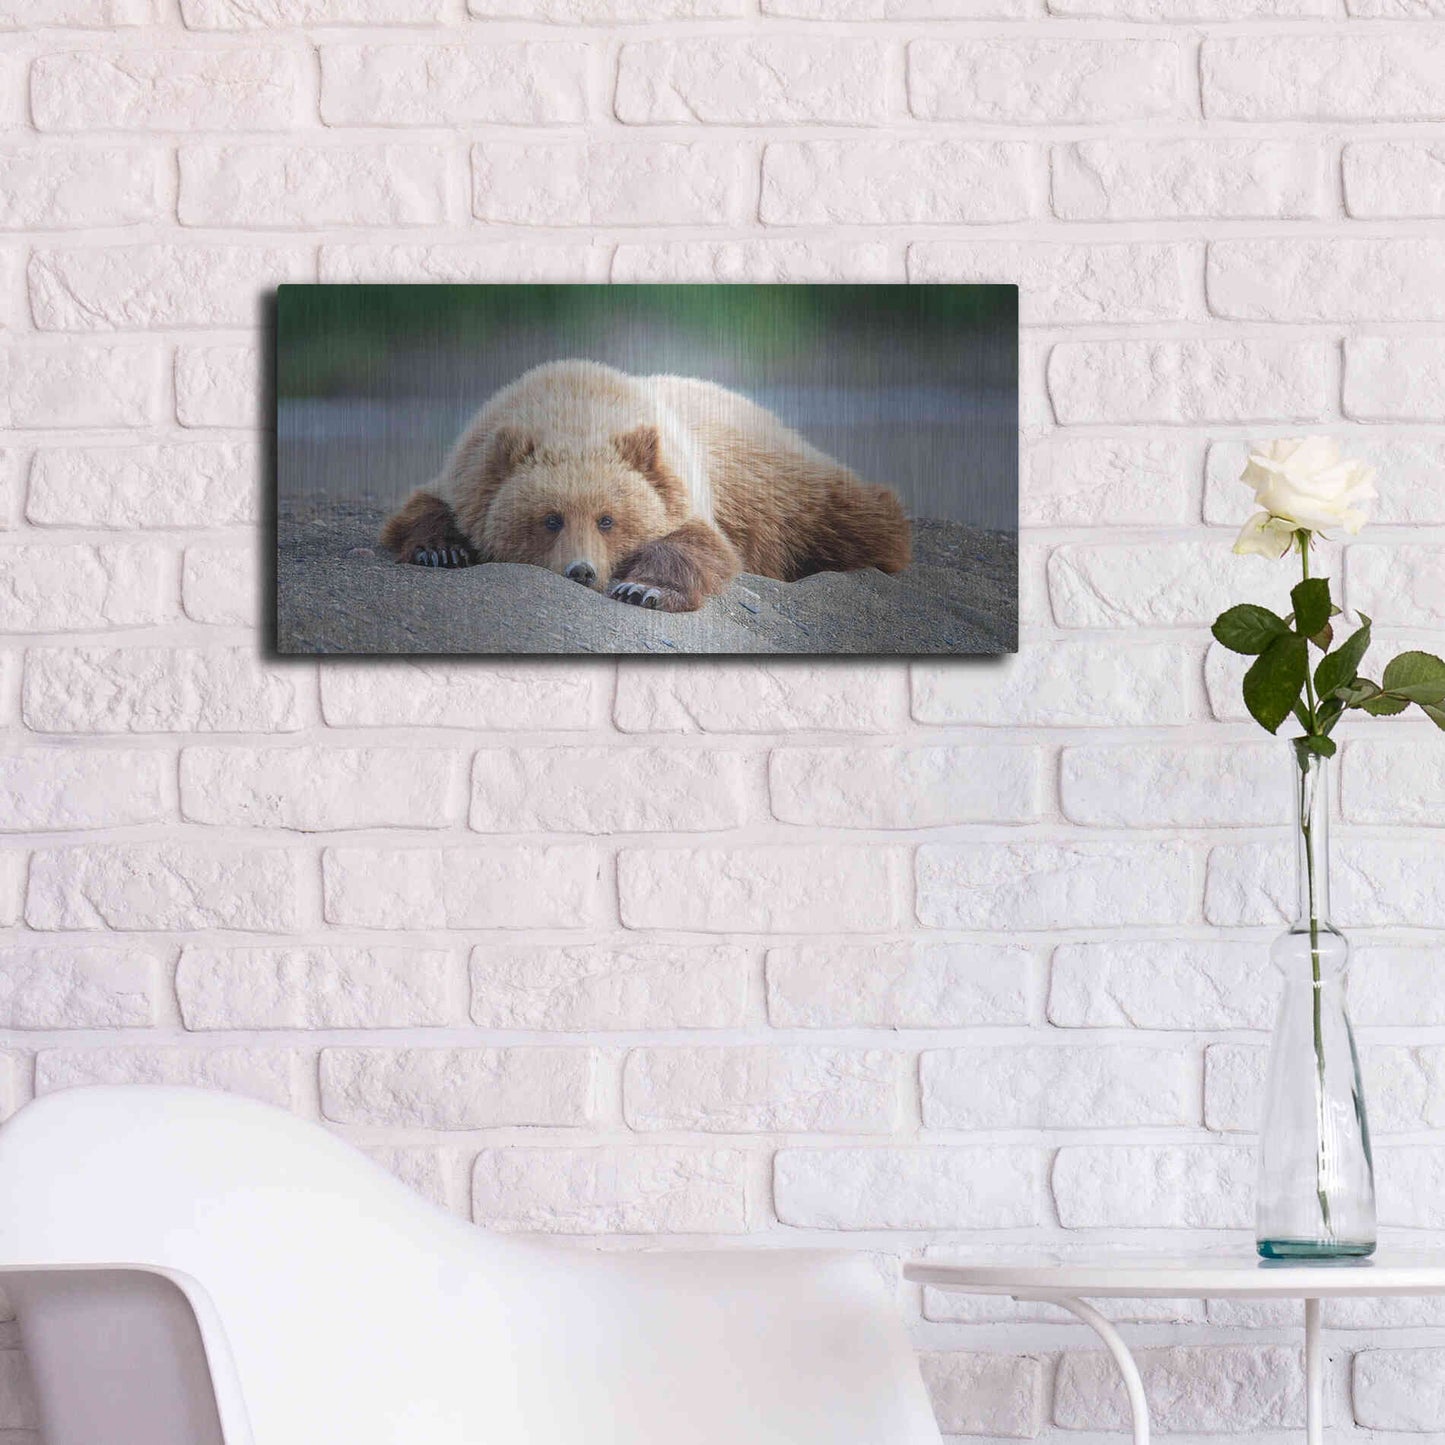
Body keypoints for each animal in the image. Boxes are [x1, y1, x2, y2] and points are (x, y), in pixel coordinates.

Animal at [379, 359, 911, 613]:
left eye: (607, 519)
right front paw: (441, 550)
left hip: (779, 488)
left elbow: (698, 546)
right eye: (550, 519)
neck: (574, 408)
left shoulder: (683, 486)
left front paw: (642, 589)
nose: (581, 571)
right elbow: (423, 509)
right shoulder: (469, 469)